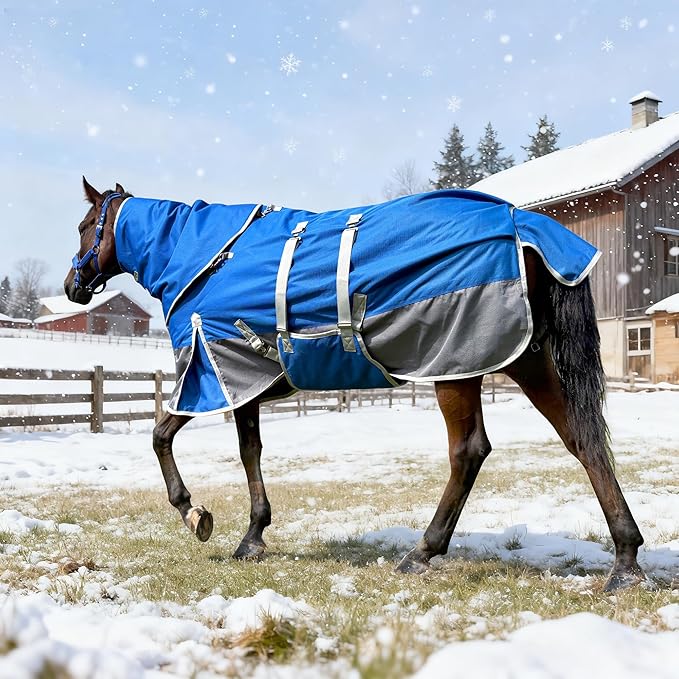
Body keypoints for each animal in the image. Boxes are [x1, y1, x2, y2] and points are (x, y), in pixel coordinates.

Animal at [64, 178, 646, 591]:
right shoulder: (246, 384)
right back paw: (625, 560)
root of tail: (522, 222)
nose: (72, 285)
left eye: (86, 224)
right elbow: (250, 450)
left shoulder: (213, 371)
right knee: (583, 441)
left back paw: (423, 552)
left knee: (469, 452)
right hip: (525, 361)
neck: (208, 260)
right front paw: (253, 535)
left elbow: (161, 435)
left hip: (454, 366)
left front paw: (195, 514)